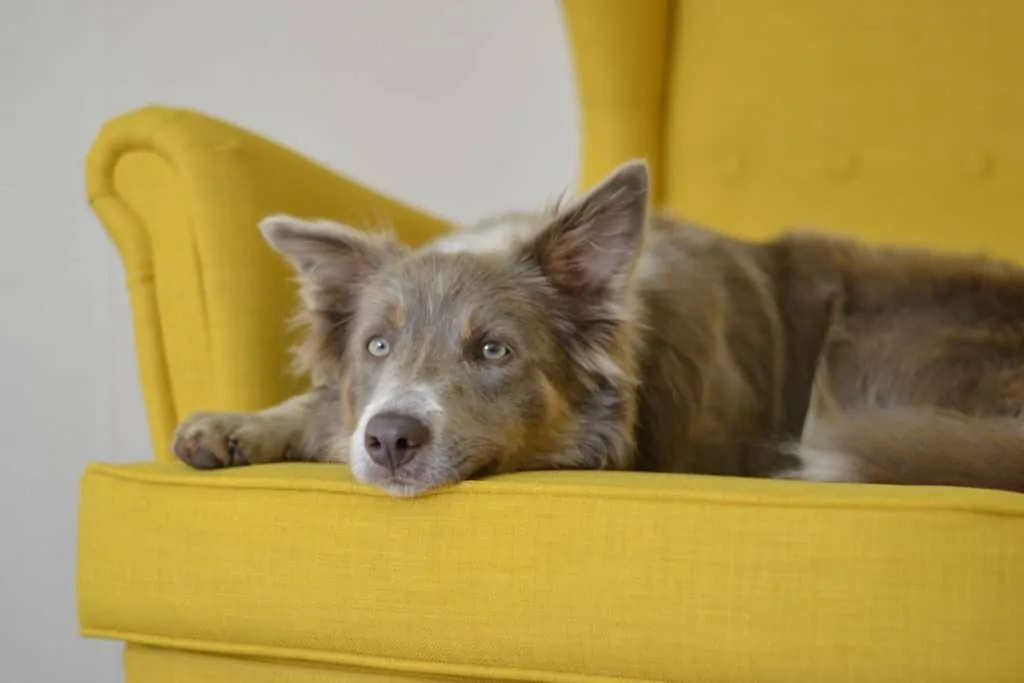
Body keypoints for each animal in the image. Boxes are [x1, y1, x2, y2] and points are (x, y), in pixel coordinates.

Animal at [174, 162, 1024, 499]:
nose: (389, 439)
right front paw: (235, 424)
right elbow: (317, 406)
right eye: (376, 346)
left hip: (868, 339)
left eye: (494, 350)